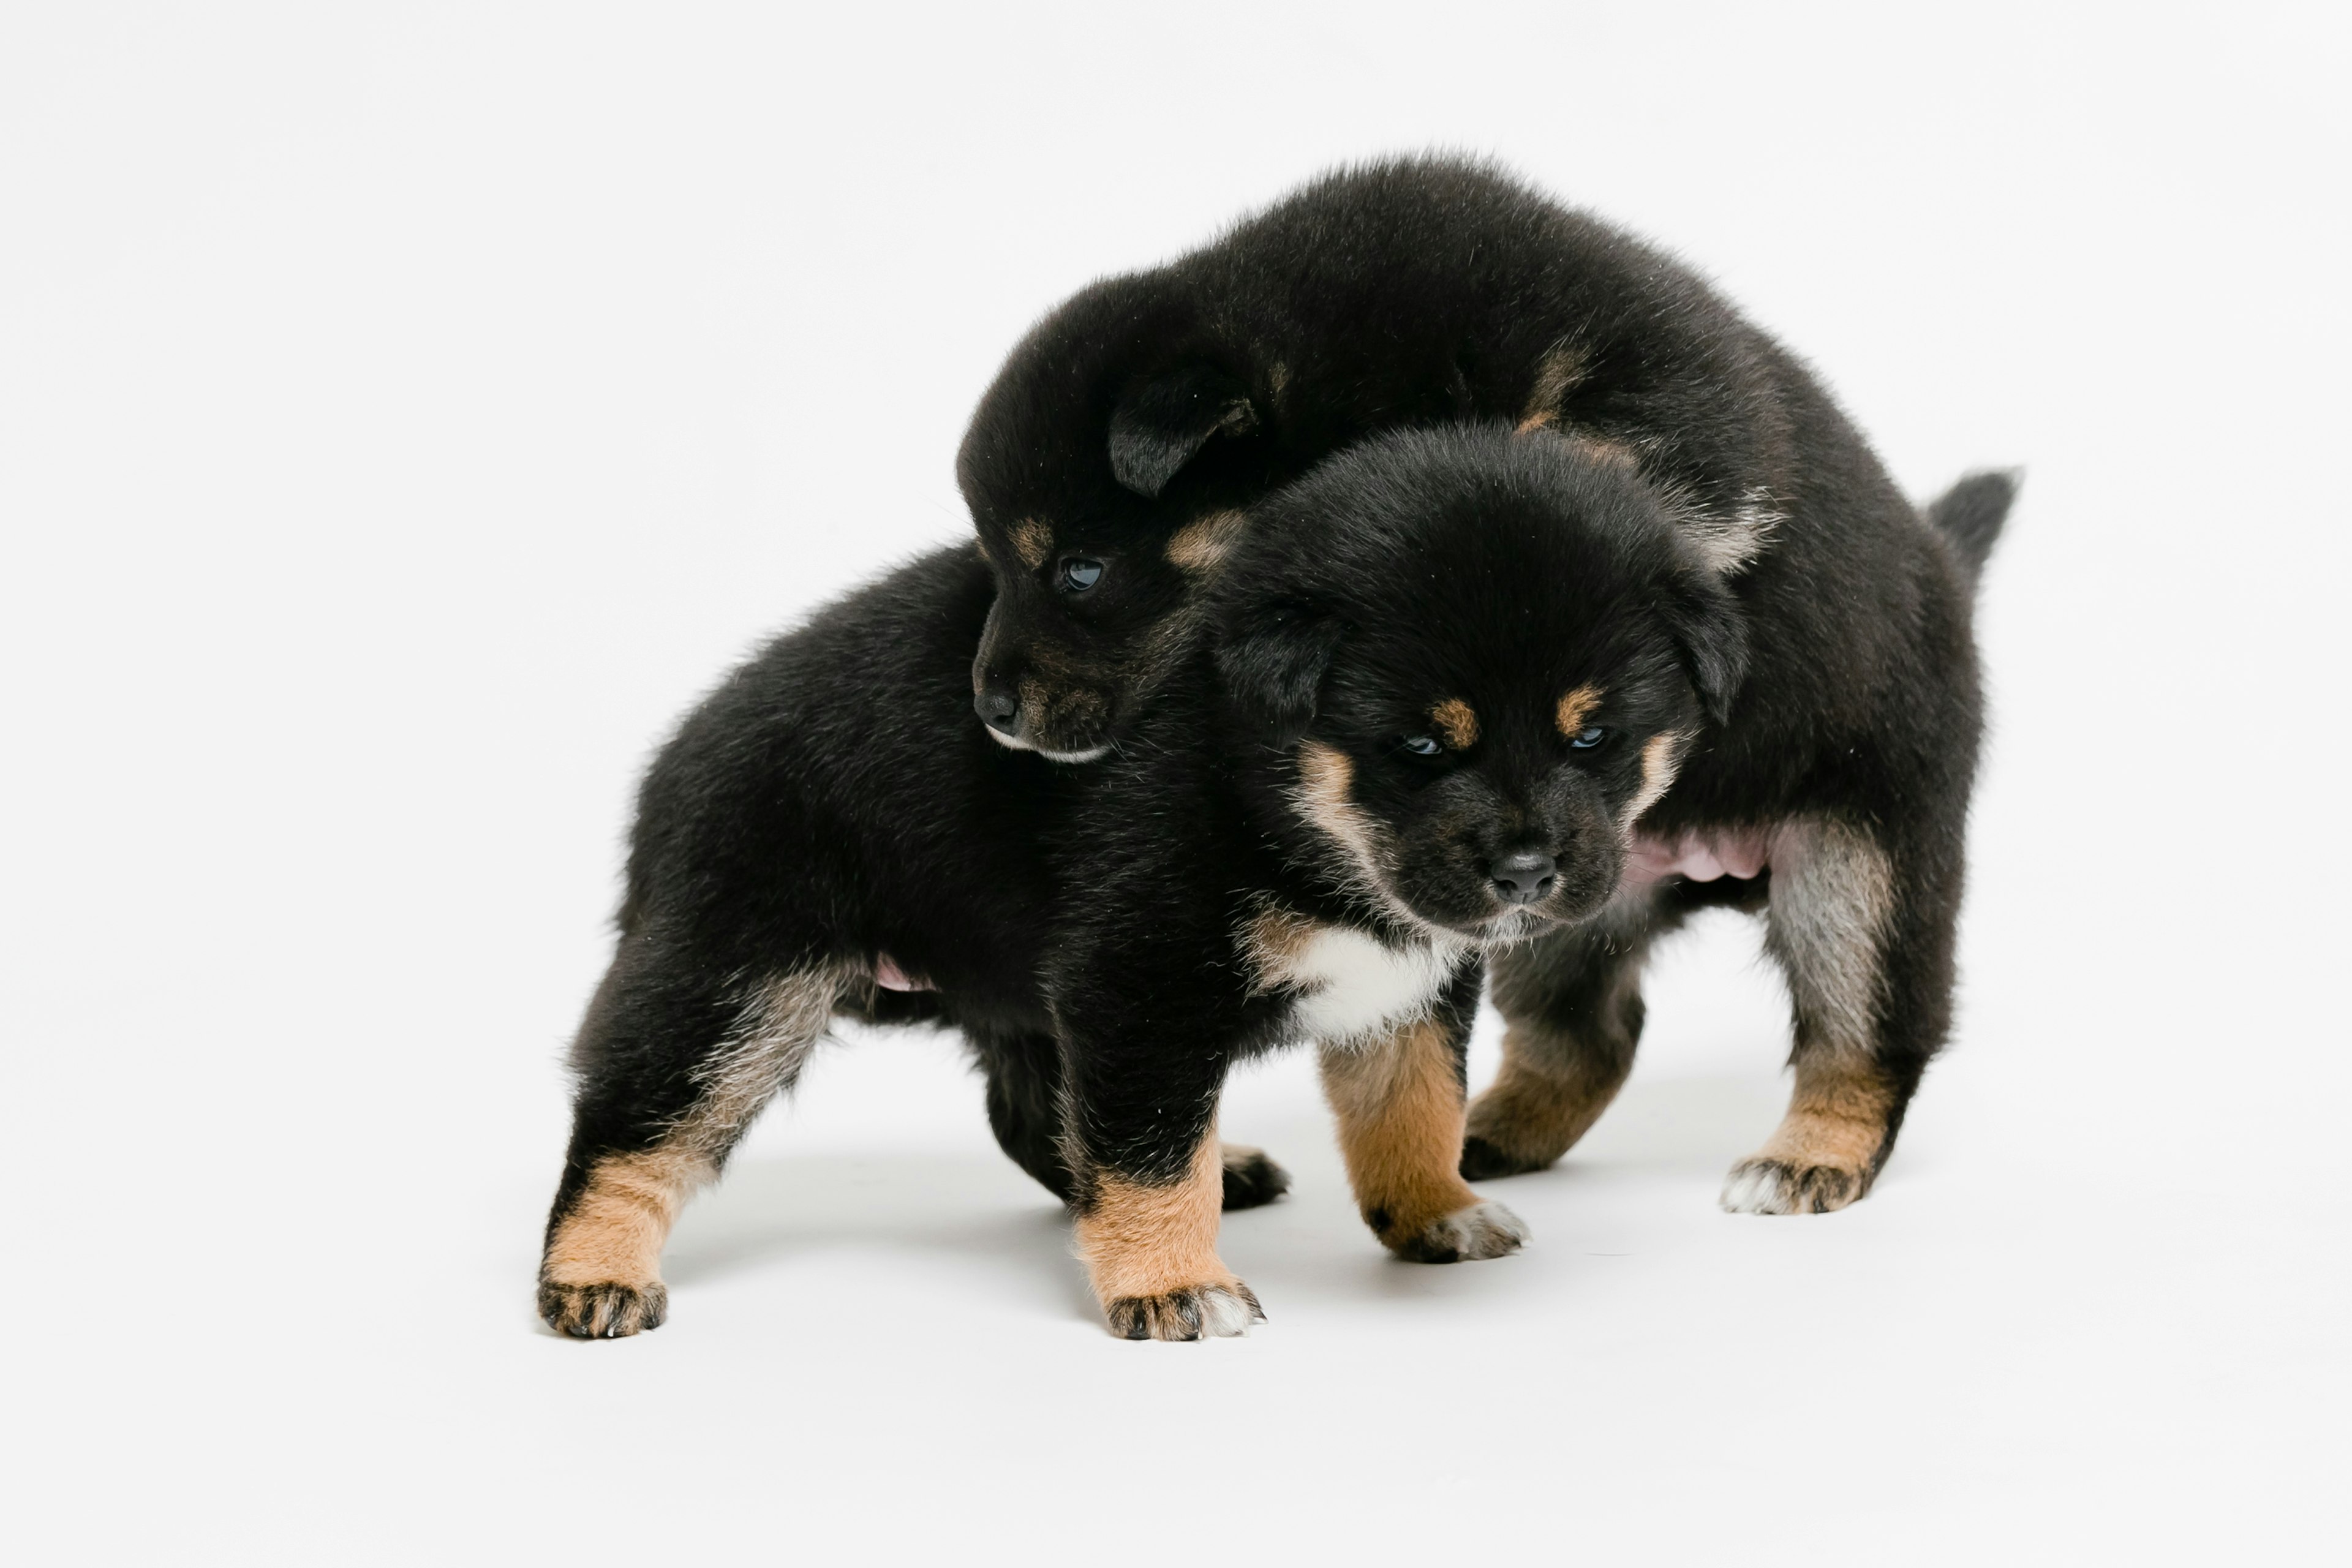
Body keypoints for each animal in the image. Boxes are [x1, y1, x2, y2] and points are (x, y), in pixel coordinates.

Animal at [964, 156, 2013, 1213]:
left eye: (1079, 571)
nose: (991, 709)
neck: (1333, 371)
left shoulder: (1678, 413)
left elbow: (1583, 455)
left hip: (1858, 867)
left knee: (1863, 1037)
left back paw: (1808, 1155)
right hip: (1557, 907)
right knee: (1588, 1034)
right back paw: (1479, 1141)